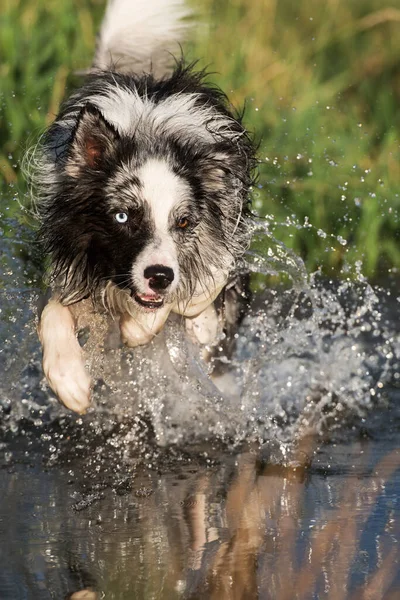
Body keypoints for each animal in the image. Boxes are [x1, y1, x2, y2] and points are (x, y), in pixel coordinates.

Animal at [32, 0, 255, 412]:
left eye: (183, 223)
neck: (149, 136)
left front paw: (145, 326)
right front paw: (69, 381)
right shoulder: (69, 263)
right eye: (123, 216)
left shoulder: (222, 239)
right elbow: (52, 311)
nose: (159, 277)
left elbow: (199, 289)